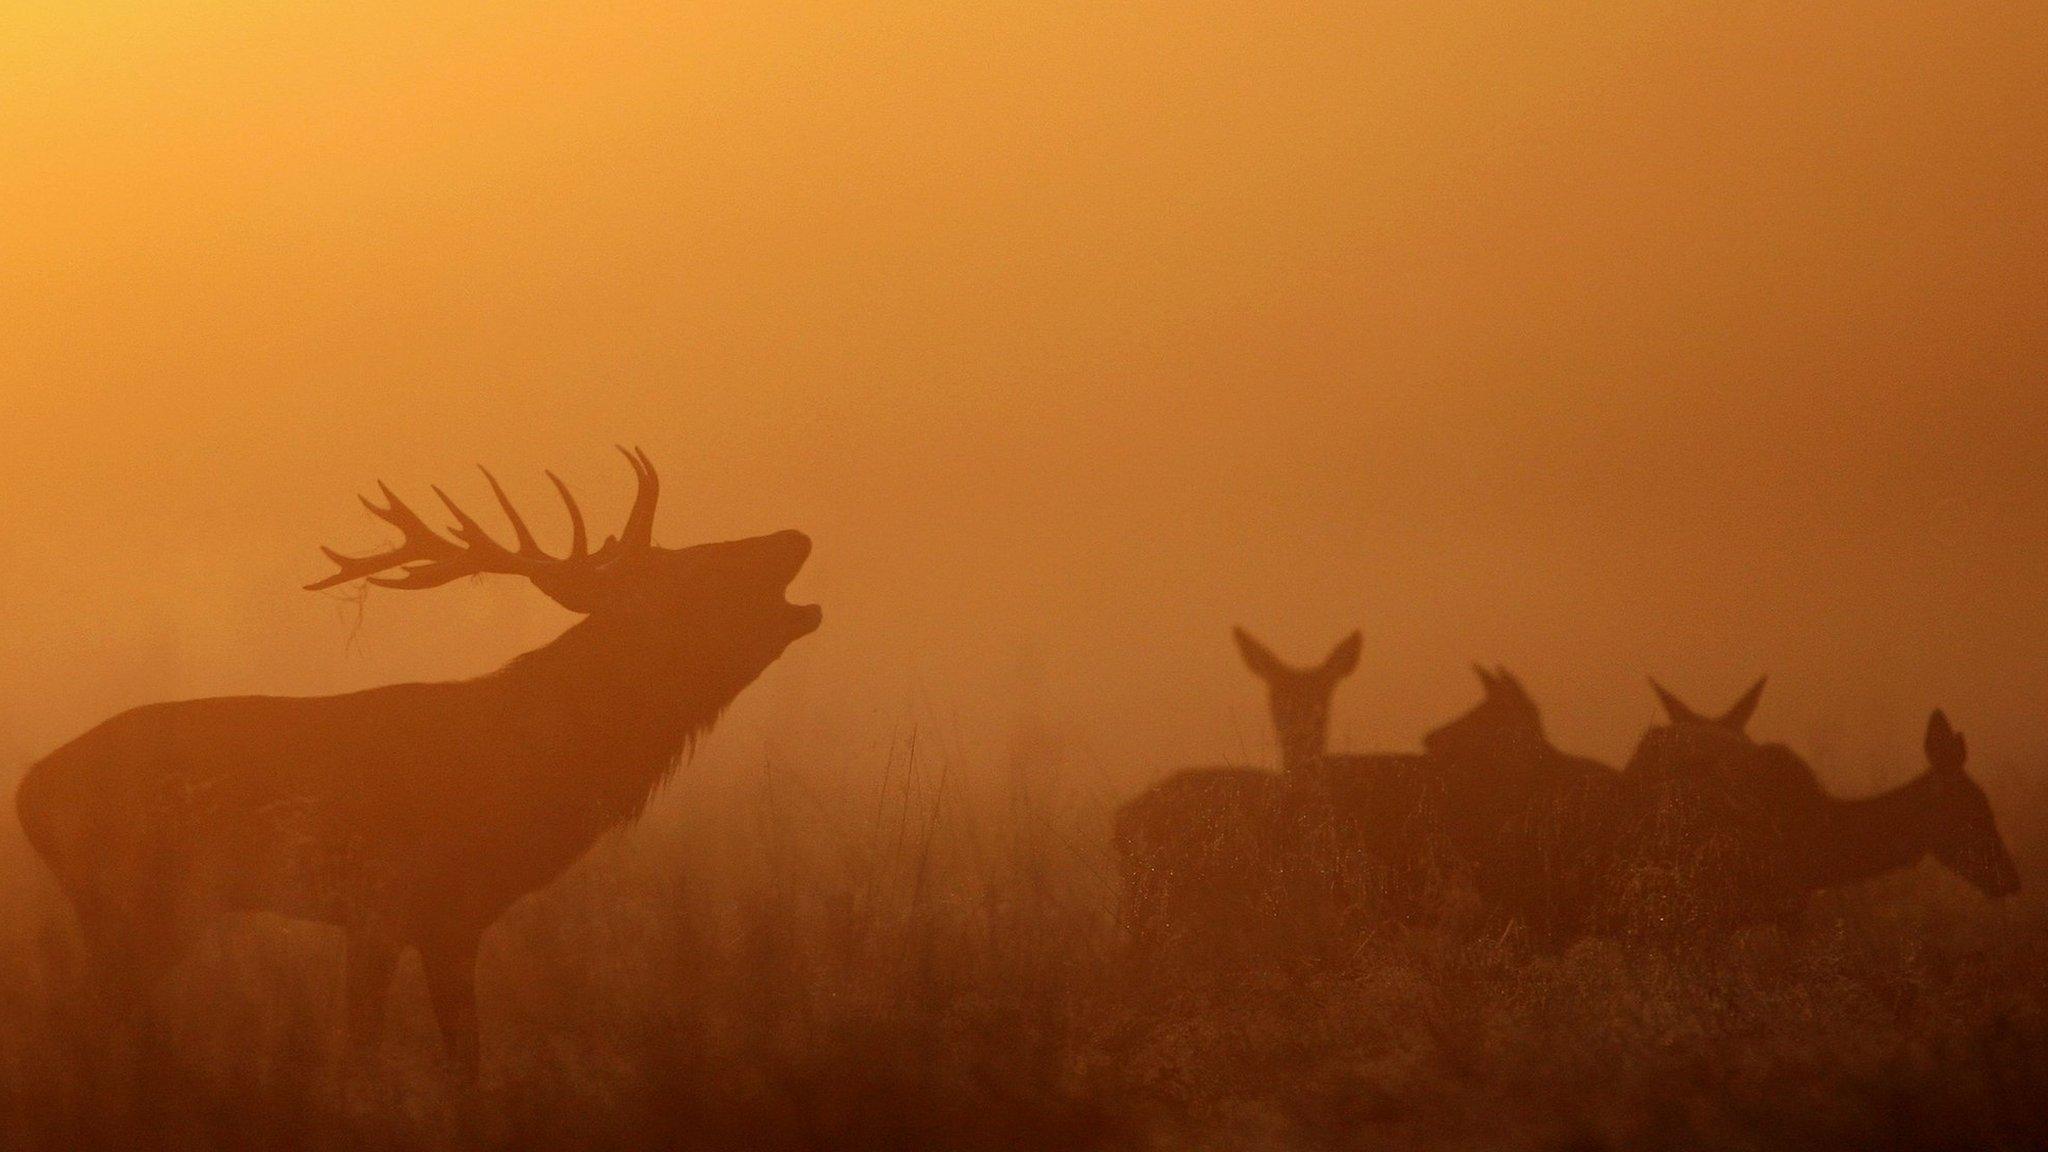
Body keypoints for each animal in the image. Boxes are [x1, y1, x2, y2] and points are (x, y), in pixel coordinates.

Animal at [14, 444, 823, 1074]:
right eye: (693, 573)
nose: (794, 535)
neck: (527, 770)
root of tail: (29, 793)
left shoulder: (452, 920)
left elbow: (466, 1063)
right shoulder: (385, 901)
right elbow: (365, 1055)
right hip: (140, 901)